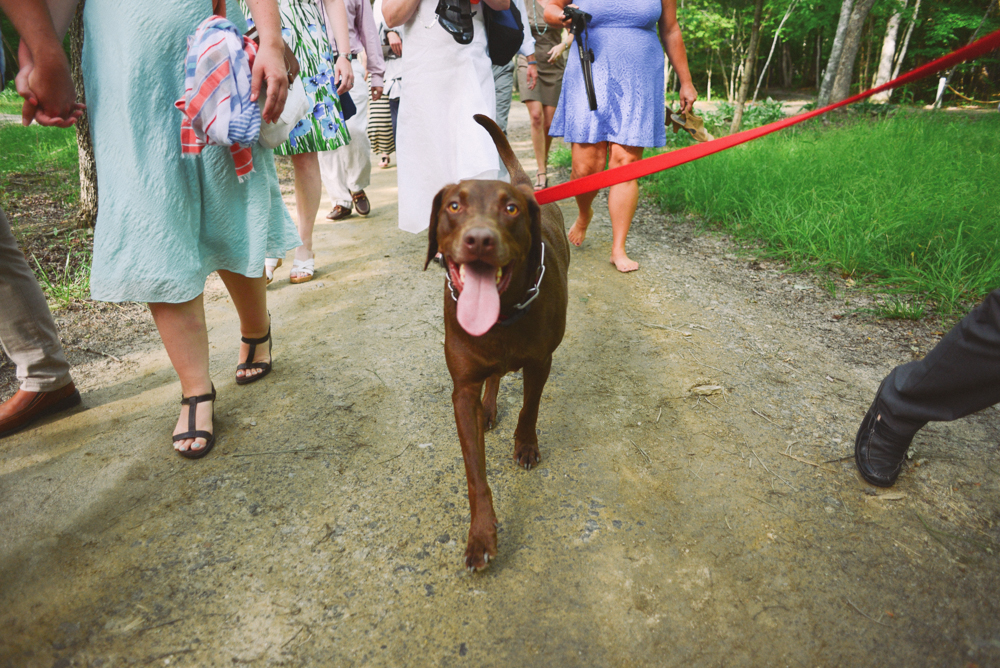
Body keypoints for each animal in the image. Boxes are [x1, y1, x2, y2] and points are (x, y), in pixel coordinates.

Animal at [424, 113, 572, 568]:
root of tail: (527, 182)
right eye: (454, 206)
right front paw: (481, 534)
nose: (479, 239)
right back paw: (488, 408)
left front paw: (525, 445)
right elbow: (476, 473)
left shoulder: (541, 362)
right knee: (493, 377)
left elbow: (529, 408)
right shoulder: (462, 390)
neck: (502, 315)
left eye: (510, 209)